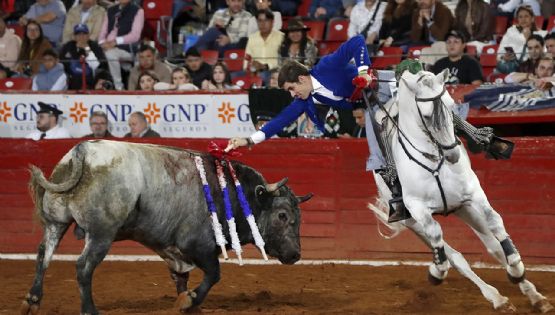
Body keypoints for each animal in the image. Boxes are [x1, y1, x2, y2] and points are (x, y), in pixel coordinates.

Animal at [21, 141, 312, 315]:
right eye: (283, 215)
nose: (295, 254)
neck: (229, 191)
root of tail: (81, 152)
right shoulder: (198, 245)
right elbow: (213, 274)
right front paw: (190, 301)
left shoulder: (173, 250)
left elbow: (180, 278)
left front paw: (186, 302)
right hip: (101, 234)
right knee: (83, 267)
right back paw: (89, 309)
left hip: (56, 223)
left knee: (43, 255)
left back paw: (32, 300)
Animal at [372, 69, 552, 314]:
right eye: (426, 116)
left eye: (451, 107)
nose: (453, 155)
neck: (434, 158)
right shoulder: (417, 208)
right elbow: (438, 236)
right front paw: (436, 271)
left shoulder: (473, 195)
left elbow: (495, 222)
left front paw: (516, 267)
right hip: (411, 222)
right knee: (456, 257)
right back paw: (497, 298)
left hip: (463, 209)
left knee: (493, 246)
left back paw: (533, 295)